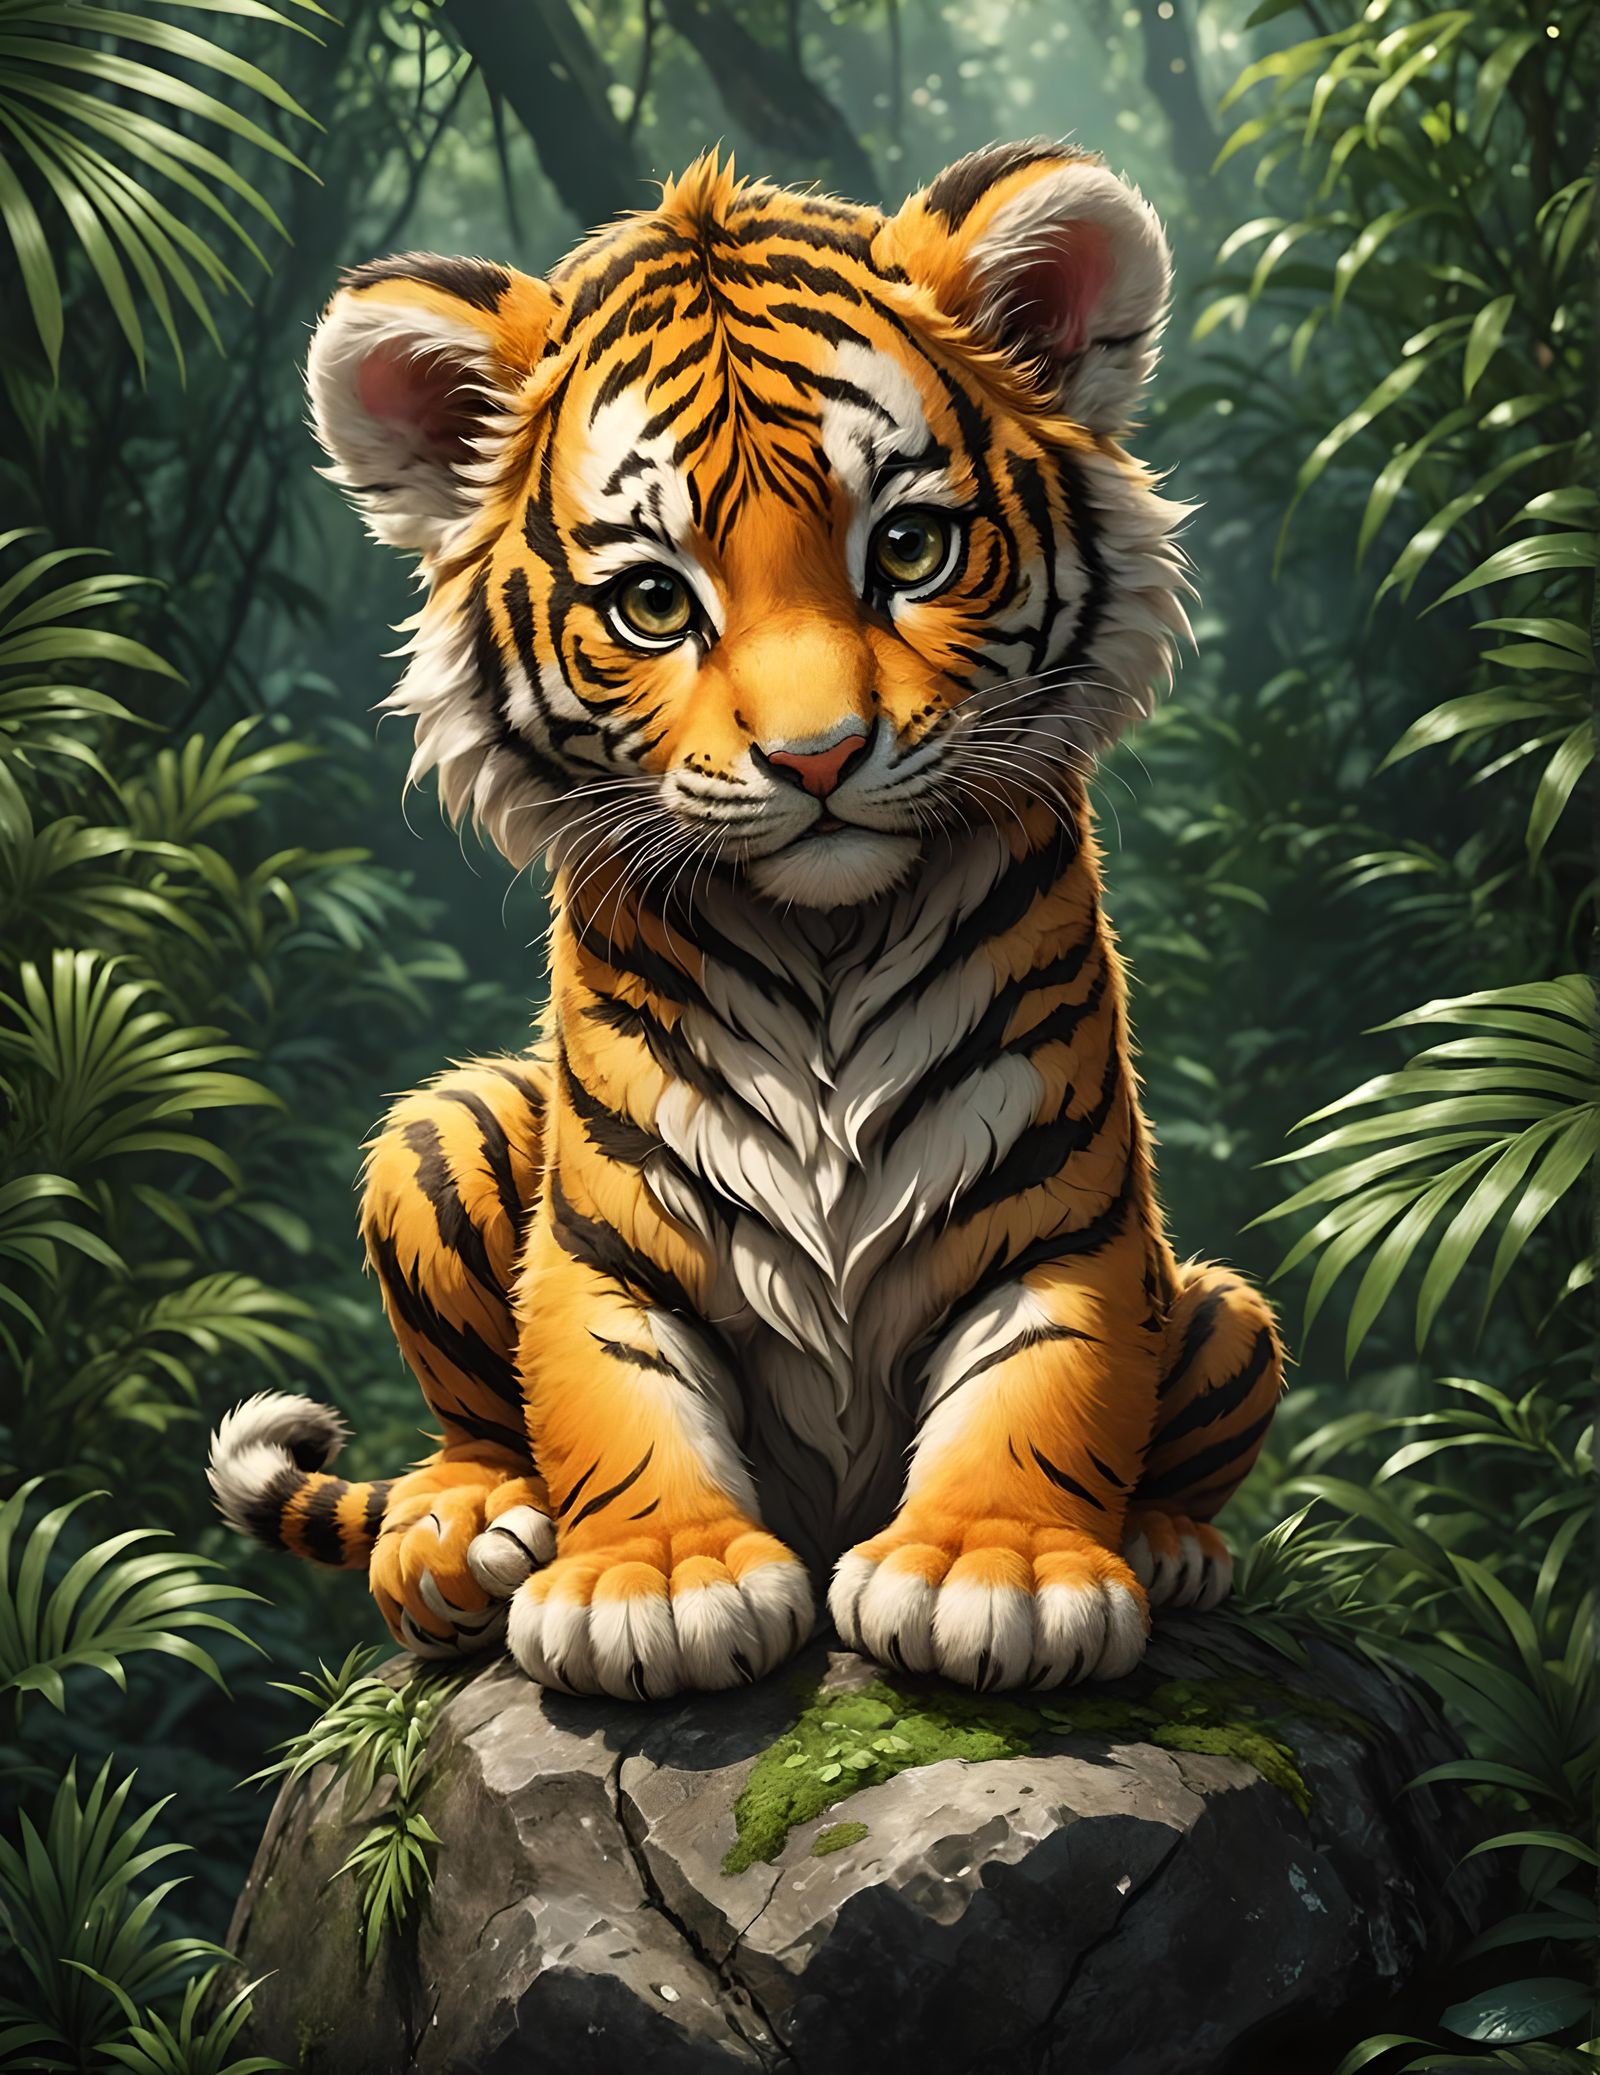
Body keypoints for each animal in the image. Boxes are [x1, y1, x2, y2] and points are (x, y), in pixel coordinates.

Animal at [207, 141, 1284, 1700]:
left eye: (910, 544)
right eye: (656, 602)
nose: (818, 756)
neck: (824, 949)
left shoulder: (1062, 1203)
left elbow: (1046, 1378)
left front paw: (997, 1571)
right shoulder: (600, 1235)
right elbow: (609, 1390)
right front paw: (655, 1583)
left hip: (1226, 1308)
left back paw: (1171, 1542)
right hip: (441, 1128)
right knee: (475, 1424)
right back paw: (458, 1538)